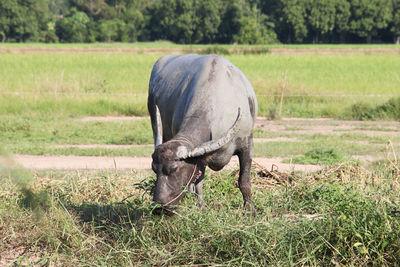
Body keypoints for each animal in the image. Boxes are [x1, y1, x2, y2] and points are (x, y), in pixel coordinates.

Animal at [148, 53, 258, 217]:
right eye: (154, 169)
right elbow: (198, 184)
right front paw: (201, 208)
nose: (158, 208)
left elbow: (244, 181)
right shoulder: (199, 159)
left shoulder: (246, 145)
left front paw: (250, 210)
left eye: (174, 169)